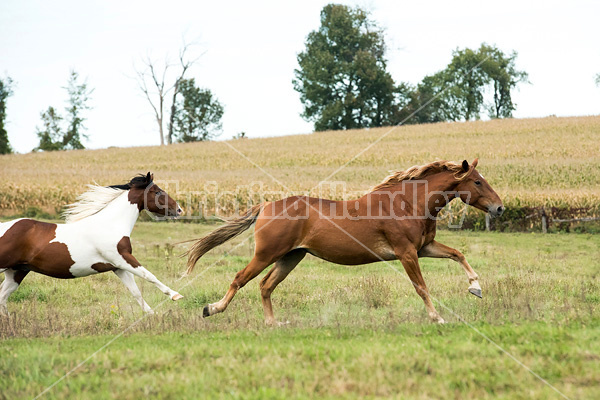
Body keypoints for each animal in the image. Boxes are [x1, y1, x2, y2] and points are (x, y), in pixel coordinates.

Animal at [0, 172, 183, 316]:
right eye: (158, 191)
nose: (179, 210)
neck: (110, 224)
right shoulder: (122, 259)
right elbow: (149, 276)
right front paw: (175, 295)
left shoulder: (118, 267)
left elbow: (136, 292)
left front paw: (153, 316)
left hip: (17, 271)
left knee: (2, 297)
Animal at [185, 158, 504, 324]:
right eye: (477, 181)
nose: (500, 208)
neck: (407, 203)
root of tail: (265, 206)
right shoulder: (407, 253)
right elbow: (421, 287)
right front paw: (437, 318)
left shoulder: (424, 248)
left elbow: (458, 253)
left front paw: (475, 288)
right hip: (267, 254)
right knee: (240, 279)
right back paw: (212, 309)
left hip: (291, 256)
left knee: (265, 286)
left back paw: (273, 323)